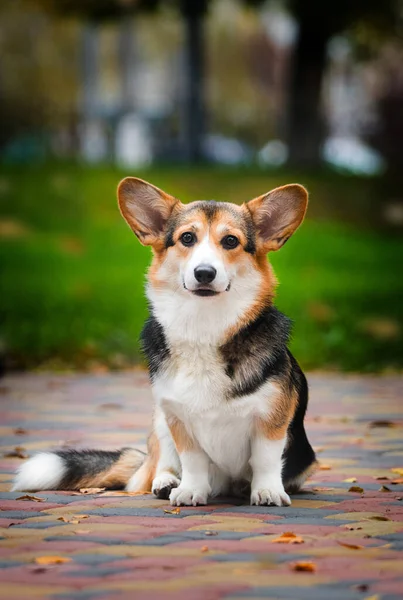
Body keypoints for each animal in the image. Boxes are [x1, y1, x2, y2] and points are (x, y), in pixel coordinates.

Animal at [12, 178, 318, 506]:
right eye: (187, 237)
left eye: (230, 241)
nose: (204, 273)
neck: (203, 327)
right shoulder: (178, 419)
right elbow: (192, 460)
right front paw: (190, 491)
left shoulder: (271, 420)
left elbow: (265, 459)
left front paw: (267, 491)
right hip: (159, 420)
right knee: (158, 467)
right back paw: (167, 482)